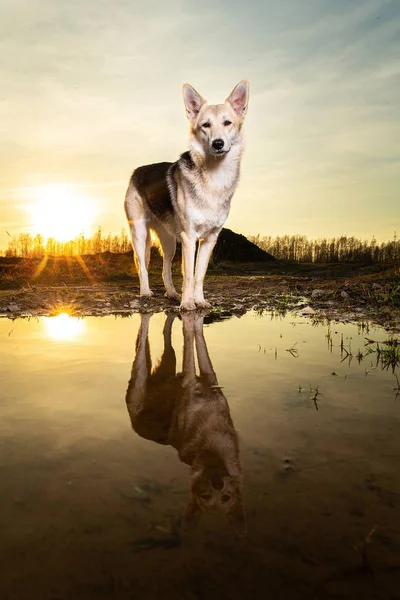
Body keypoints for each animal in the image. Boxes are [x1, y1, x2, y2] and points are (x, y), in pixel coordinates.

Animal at [125, 79, 250, 310]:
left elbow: (199, 274)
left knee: (165, 269)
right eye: (205, 125)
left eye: (227, 123)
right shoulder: (190, 237)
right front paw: (187, 304)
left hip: (170, 242)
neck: (214, 177)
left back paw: (172, 293)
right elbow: (189, 275)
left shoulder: (209, 239)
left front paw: (199, 301)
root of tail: (138, 171)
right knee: (142, 266)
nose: (218, 143)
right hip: (139, 233)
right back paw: (146, 292)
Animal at [125, 312, 245, 536]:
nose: (218, 483)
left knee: (167, 337)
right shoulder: (190, 381)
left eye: (226, 497)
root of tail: (136, 429)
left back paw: (171, 304)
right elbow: (190, 347)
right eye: (205, 495)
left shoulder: (210, 377)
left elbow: (200, 345)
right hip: (140, 375)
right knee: (143, 339)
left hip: (169, 360)